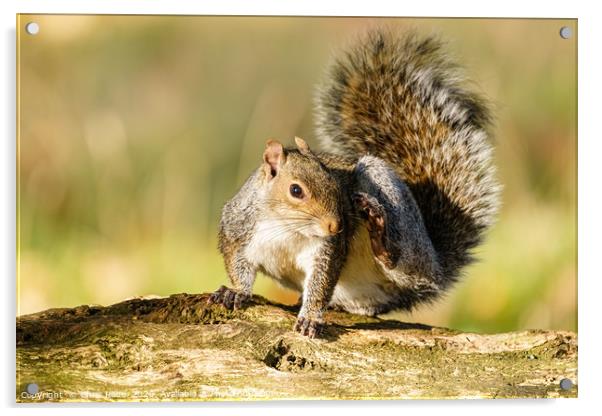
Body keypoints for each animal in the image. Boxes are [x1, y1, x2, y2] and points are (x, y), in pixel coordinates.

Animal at [209, 28, 500, 338]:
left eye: (336, 184)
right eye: (296, 190)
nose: (335, 226)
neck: (286, 226)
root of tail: (437, 265)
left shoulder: (326, 250)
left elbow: (321, 283)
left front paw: (311, 317)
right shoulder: (237, 230)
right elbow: (238, 266)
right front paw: (236, 292)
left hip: (395, 211)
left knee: (404, 269)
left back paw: (379, 232)